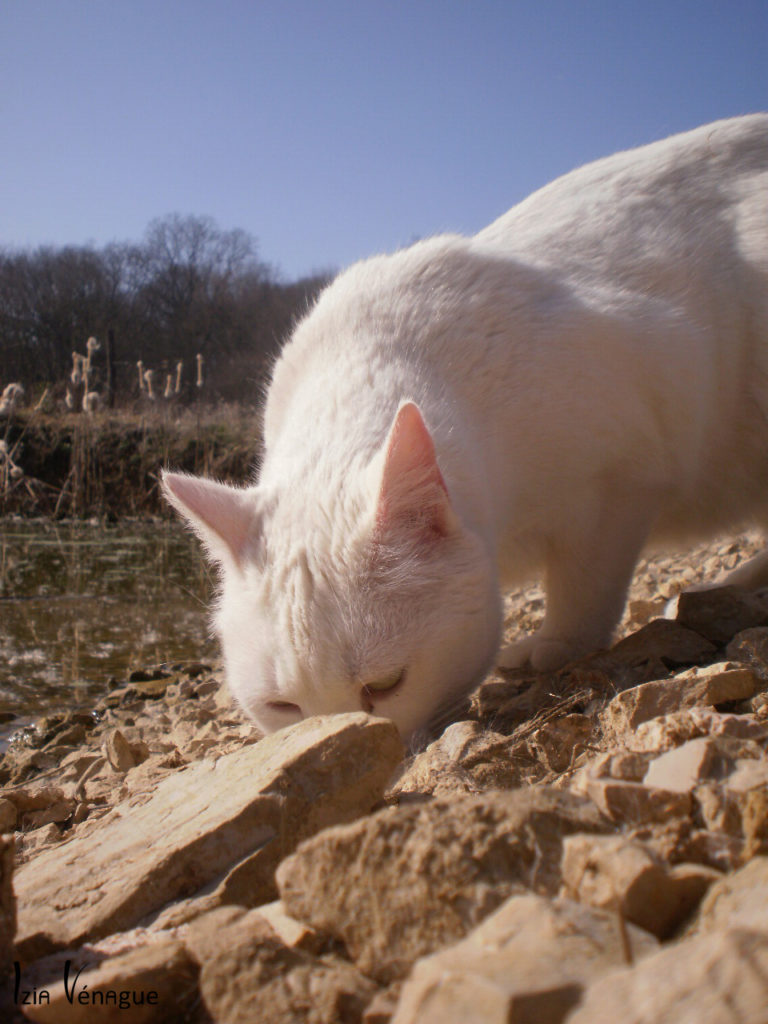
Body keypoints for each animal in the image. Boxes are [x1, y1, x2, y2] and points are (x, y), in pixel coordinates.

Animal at [163, 116, 768, 741]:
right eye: (283, 706)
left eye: (385, 685)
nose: (342, 741)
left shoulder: (622, 477)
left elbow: (585, 584)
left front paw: (557, 648)